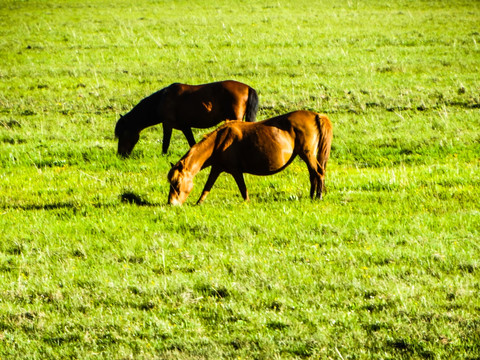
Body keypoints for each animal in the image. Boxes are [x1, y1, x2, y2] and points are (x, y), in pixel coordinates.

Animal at [114, 80, 256, 156]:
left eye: (123, 134)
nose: (120, 154)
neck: (162, 99)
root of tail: (248, 88)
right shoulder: (185, 127)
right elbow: (192, 143)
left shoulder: (167, 124)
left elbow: (166, 142)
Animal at [169, 109, 334, 205]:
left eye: (177, 183)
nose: (171, 203)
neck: (219, 140)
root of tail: (315, 115)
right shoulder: (217, 168)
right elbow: (207, 187)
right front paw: (198, 203)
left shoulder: (236, 171)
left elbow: (243, 189)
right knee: (313, 174)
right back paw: (312, 196)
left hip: (307, 154)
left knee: (319, 173)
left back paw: (318, 197)